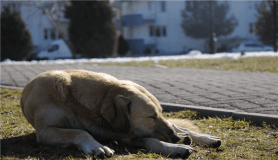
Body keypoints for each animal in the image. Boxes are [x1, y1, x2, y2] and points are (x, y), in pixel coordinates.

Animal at [20, 69, 222, 158]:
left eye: (160, 113)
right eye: (151, 116)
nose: (174, 138)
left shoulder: (123, 133)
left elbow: (153, 139)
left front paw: (175, 147)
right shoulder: (45, 131)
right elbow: (79, 132)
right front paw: (96, 146)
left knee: (178, 126)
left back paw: (203, 138)